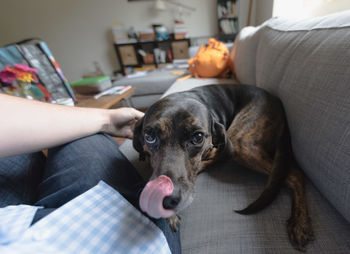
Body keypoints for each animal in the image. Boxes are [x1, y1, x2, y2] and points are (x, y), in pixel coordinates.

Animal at [134, 84, 314, 251]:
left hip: (240, 142)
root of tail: (277, 102)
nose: (165, 199)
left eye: (198, 137)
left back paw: (300, 223)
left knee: (295, 174)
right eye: (149, 136)